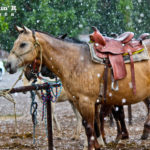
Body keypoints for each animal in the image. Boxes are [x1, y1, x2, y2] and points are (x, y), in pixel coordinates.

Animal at [4, 25, 150, 149]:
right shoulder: (79, 101)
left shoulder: (88, 101)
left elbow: (91, 127)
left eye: (23, 44)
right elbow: (90, 125)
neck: (76, 61)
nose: (7, 65)